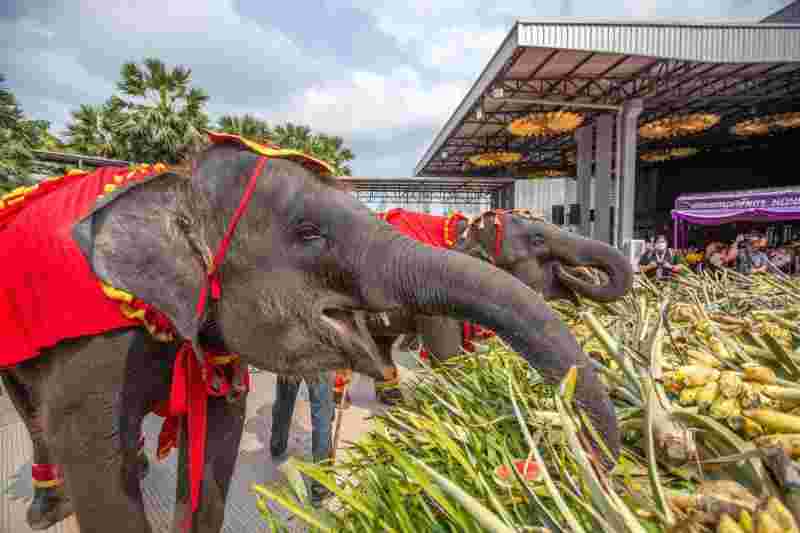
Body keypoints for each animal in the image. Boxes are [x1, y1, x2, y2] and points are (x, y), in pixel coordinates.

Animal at [1, 136, 620, 532]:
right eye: (308, 233)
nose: (594, 471)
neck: (177, 181)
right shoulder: (92, 353)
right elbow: (98, 458)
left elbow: (221, 436)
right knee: (32, 413)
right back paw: (48, 509)